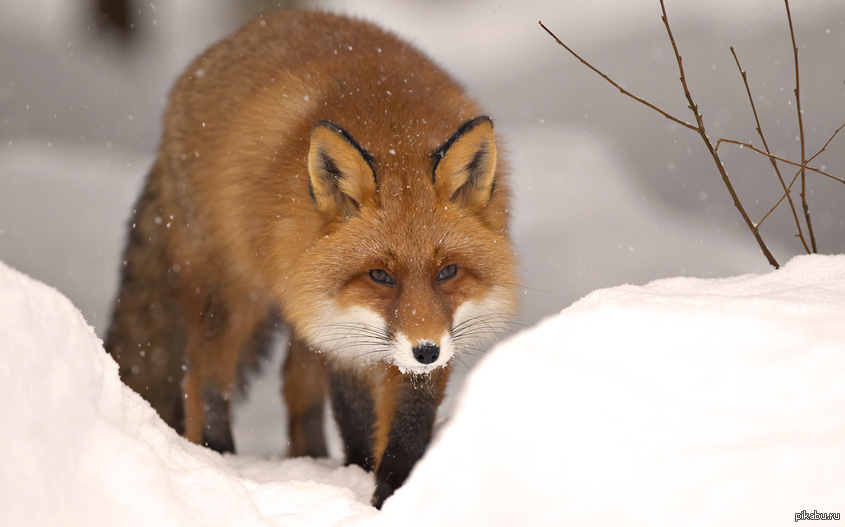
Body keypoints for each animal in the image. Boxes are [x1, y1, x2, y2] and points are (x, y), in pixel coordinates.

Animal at [105, 10, 516, 510]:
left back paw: (311, 459)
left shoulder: (415, 332)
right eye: (380, 275)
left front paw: (396, 491)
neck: (393, 129)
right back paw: (219, 458)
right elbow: (357, 416)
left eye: (448, 272)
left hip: (301, 306)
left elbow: (409, 423)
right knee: (201, 380)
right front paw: (363, 476)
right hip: (232, 295)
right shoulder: (341, 333)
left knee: (294, 387)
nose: (426, 351)